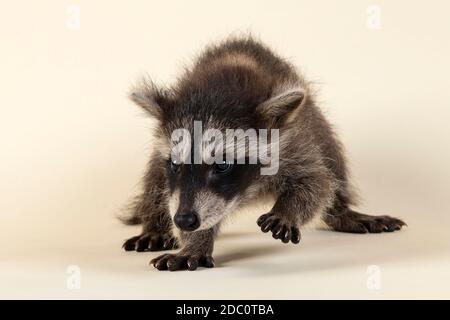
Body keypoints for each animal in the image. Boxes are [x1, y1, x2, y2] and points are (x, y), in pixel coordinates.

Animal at [121, 35, 406, 270]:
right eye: (176, 164)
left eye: (222, 164)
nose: (184, 220)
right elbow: (165, 185)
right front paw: (194, 243)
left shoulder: (292, 141)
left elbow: (317, 182)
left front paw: (287, 210)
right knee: (154, 181)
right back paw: (155, 225)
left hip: (315, 122)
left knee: (333, 157)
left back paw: (341, 211)